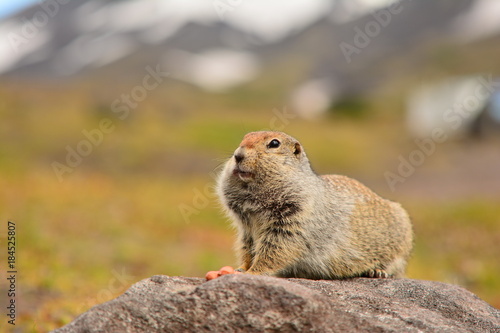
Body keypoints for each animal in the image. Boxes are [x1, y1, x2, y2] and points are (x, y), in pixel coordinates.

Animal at [205, 131, 412, 278]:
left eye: (274, 143)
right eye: (244, 138)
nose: (238, 155)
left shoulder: (292, 217)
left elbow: (277, 248)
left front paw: (254, 272)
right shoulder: (246, 228)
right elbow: (247, 248)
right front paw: (240, 268)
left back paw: (378, 271)